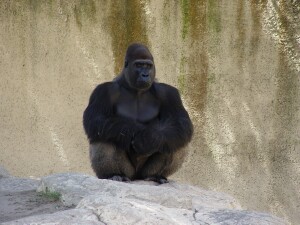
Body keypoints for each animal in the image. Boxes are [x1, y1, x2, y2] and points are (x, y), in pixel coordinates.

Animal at [83, 43, 193, 184]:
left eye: (148, 66)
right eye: (139, 65)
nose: (145, 75)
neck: (133, 88)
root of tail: (136, 177)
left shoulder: (168, 93)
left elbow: (180, 123)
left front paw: (149, 138)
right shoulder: (103, 91)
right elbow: (96, 119)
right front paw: (140, 134)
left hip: (143, 172)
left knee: (175, 139)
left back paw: (156, 175)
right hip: (129, 172)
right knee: (104, 133)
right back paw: (114, 174)